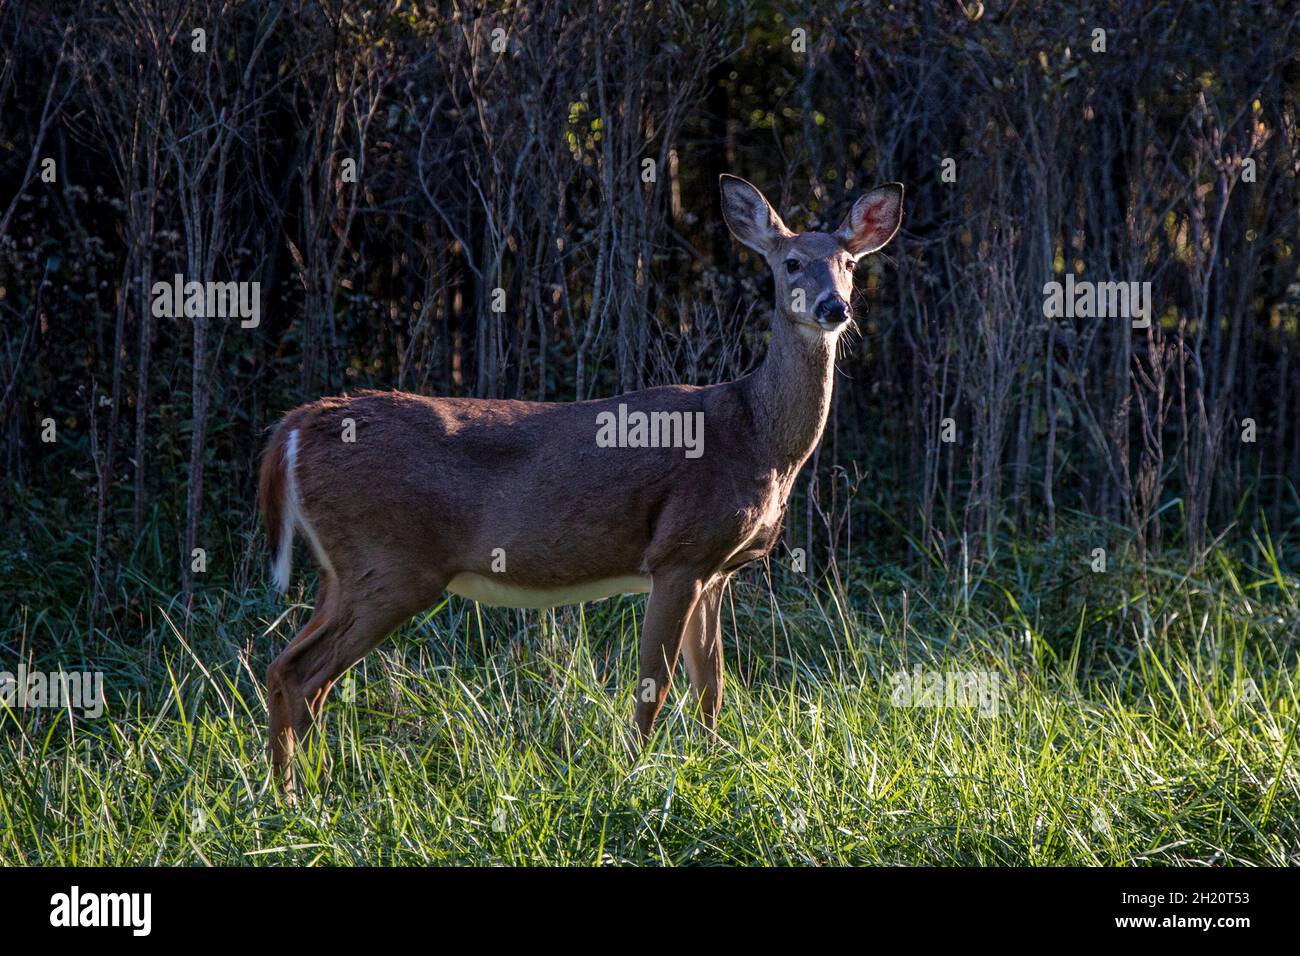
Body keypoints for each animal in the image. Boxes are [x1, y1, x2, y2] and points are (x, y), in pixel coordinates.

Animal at [257, 174, 903, 789]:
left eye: (849, 263)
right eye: (791, 261)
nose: (834, 307)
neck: (755, 434)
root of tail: (297, 425)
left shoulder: (716, 569)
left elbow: (712, 690)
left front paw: (714, 764)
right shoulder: (679, 552)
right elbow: (654, 686)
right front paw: (638, 776)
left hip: (342, 570)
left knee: (287, 669)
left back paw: (295, 793)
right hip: (390, 562)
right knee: (299, 672)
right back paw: (301, 797)